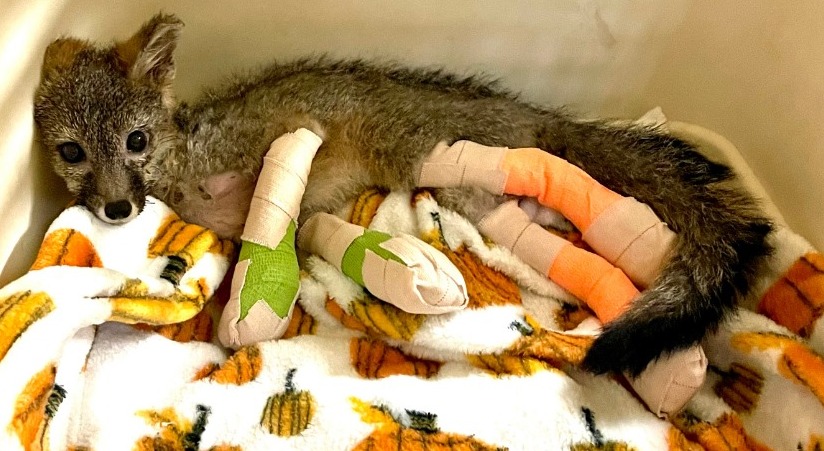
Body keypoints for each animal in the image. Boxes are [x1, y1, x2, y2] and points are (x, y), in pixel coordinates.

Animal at [33, 13, 772, 376]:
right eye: (73, 152)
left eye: (134, 141)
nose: (118, 209)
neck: (183, 155)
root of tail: (524, 111)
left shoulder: (260, 153)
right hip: (477, 197)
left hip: (448, 166)